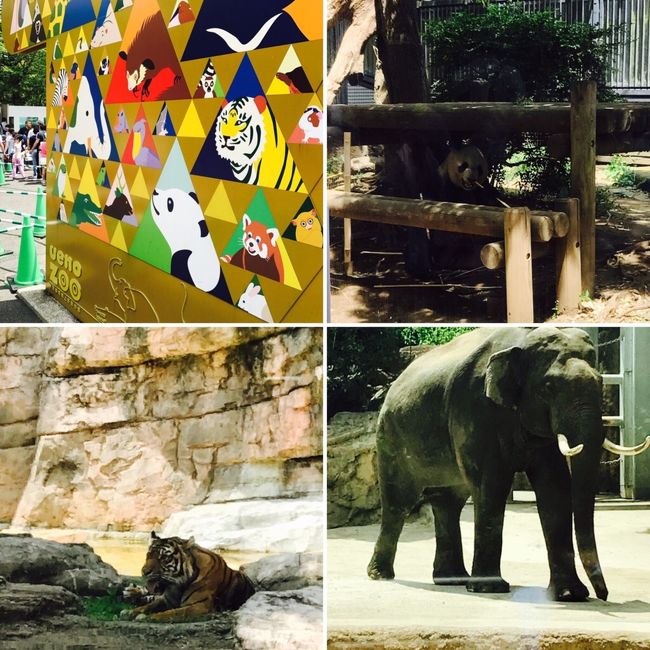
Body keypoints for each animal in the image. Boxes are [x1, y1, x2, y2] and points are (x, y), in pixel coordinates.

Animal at [120, 532, 254, 624]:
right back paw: (131, 592)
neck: (177, 584)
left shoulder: (199, 605)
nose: (144, 571)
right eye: (148, 555)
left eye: (164, 558)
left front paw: (146, 618)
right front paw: (130, 612)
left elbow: (170, 613)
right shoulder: (166, 599)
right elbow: (147, 606)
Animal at [368, 326, 648, 600]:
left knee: (448, 504)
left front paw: (570, 595)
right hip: (390, 437)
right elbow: (491, 485)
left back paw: (452, 580)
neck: (524, 341)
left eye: (601, 382)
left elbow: (554, 489)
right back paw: (381, 575)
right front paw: (490, 588)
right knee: (398, 503)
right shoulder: (475, 408)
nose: (604, 595)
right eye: (548, 387)